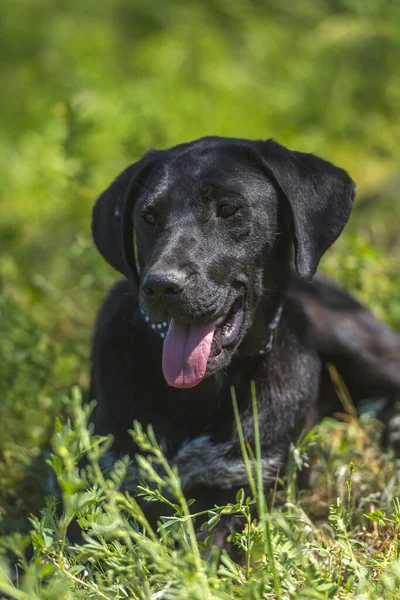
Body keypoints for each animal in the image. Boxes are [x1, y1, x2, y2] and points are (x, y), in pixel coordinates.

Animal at [90, 138, 400, 548]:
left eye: (228, 209)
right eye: (148, 217)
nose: (159, 286)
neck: (204, 391)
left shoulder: (242, 487)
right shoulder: (112, 480)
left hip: (355, 341)